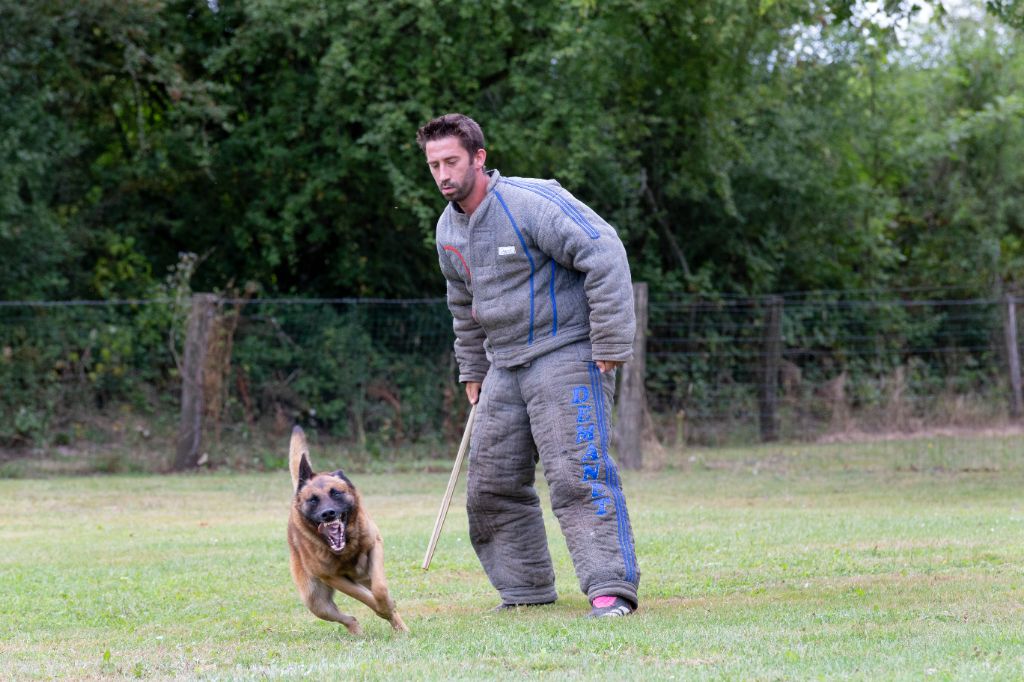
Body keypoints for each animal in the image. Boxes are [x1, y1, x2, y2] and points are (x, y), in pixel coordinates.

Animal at [284, 425, 407, 630]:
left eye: (336, 493)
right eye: (313, 500)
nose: (328, 514)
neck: (348, 548)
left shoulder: (375, 546)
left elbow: (380, 588)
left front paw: (387, 605)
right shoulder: (332, 577)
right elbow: (366, 597)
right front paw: (382, 608)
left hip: (362, 578)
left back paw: (401, 629)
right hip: (316, 602)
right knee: (349, 618)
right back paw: (360, 629)